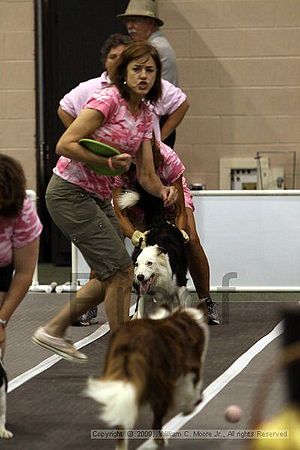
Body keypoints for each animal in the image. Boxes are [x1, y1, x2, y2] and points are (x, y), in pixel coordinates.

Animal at [85, 306, 209, 450]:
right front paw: (191, 406)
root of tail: (130, 344)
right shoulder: (190, 366)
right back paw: (161, 441)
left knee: (122, 424)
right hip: (160, 384)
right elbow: (191, 388)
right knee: (157, 420)